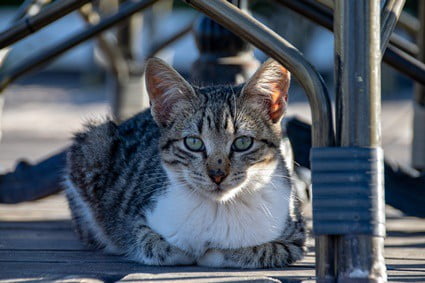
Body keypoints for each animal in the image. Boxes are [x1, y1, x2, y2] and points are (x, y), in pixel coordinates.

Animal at [63, 57, 304, 268]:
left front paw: (213, 252)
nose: (217, 174)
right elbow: (154, 244)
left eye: (243, 142)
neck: (219, 208)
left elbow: (258, 250)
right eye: (193, 143)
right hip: (93, 142)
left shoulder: (294, 237)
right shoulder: (135, 220)